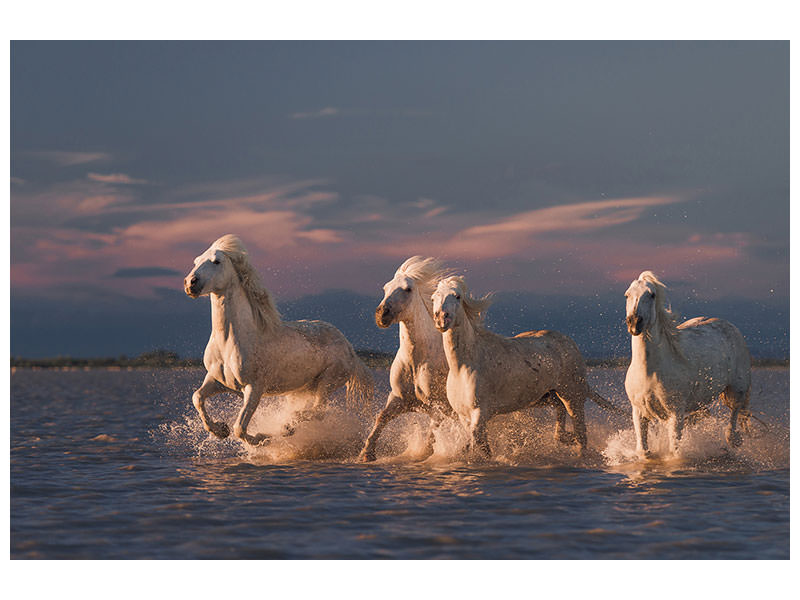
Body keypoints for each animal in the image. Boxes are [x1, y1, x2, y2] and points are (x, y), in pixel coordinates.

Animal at [184, 234, 376, 446]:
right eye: (196, 261)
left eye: (216, 261)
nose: (190, 283)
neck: (229, 343)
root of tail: (349, 348)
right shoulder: (217, 381)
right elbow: (197, 397)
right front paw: (219, 430)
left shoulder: (254, 388)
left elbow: (240, 428)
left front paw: (261, 438)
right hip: (304, 389)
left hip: (328, 382)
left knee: (319, 412)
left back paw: (288, 426)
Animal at [358, 255, 456, 462]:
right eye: (386, 288)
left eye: (407, 289)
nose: (381, 314)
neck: (417, 362)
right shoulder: (399, 399)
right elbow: (381, 418)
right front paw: (366, 454)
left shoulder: (440, 405)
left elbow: (433, 428)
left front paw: (427, 453)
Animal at [434, 274, 616, 458]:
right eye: (434, 297)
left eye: (457, 296)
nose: (442, 318)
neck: (463, 366)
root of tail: (570, 343)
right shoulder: (463, 416)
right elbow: (477, 444)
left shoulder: (480, 413)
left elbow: (480, 444)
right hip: (546, 397)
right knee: (561, 413)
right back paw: (564, 438)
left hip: (572, 396)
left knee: (581, 434)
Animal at [624, 270, 752, 458]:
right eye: (627, 295)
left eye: (652, 295)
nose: (634, 323)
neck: (650, 371)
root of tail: (729, 325)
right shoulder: (639, 411)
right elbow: (643, 451)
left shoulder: (675, 412)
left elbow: (674, 451)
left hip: (737, 388)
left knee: (735, 412)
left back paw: (733, 439)